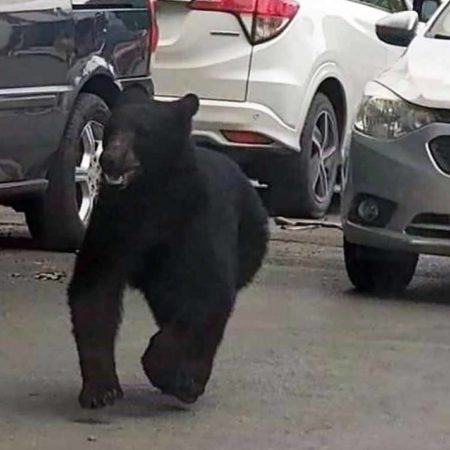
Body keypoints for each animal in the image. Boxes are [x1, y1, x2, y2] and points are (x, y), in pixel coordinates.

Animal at [67, 88, 268, 408]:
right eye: (112, 129)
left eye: (143, 133)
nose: (109, 159)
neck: (150, 195)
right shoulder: (113, 226)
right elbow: (94, 289)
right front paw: (101, 389)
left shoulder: (196, 220)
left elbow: (205, 291)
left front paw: (169, 372)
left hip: (248, 243)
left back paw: (194, 379)